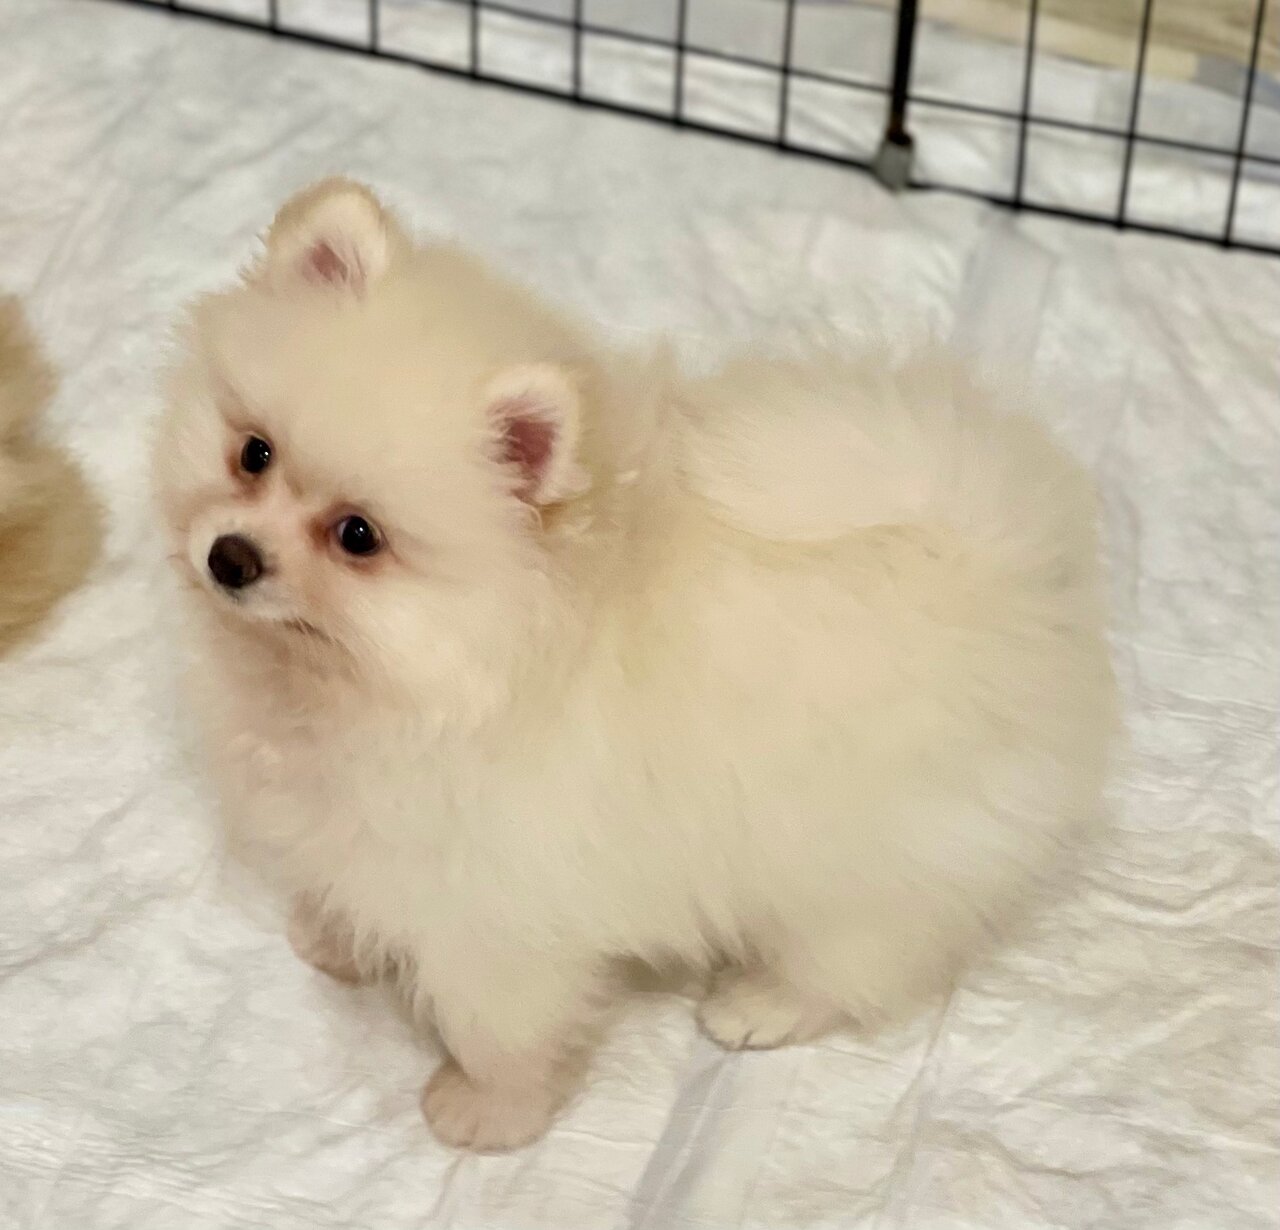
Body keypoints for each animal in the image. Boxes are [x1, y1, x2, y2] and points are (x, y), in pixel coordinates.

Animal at [154, 179, 1116, 1151]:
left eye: (358, 536)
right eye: (254, 453)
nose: (231, 557)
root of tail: (997, 558)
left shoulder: (498, 916)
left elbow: (503, 1030)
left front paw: (488, 1114)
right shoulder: (366, 840)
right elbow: (354, 889)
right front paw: (339, 937)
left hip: (870, 852)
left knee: (857, 954)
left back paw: (758, 1005)